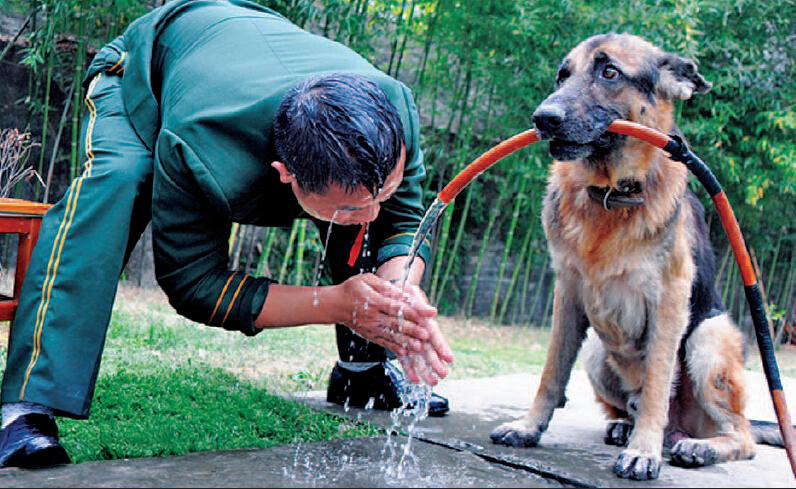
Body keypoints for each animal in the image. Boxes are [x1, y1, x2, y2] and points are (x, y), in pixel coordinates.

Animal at [488, 34, 780, 480]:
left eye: (610, 72)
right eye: (562, 75)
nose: (543, 118)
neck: (611, 194)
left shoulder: (670, 303)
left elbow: (658, 382)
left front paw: (644, 451)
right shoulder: (567, 294)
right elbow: (551, 373)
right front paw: (529, 426)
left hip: (709, 338)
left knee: (742, 436)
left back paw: (696, 447)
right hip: (596, 351)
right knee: (626, 402)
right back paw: (624, 426)